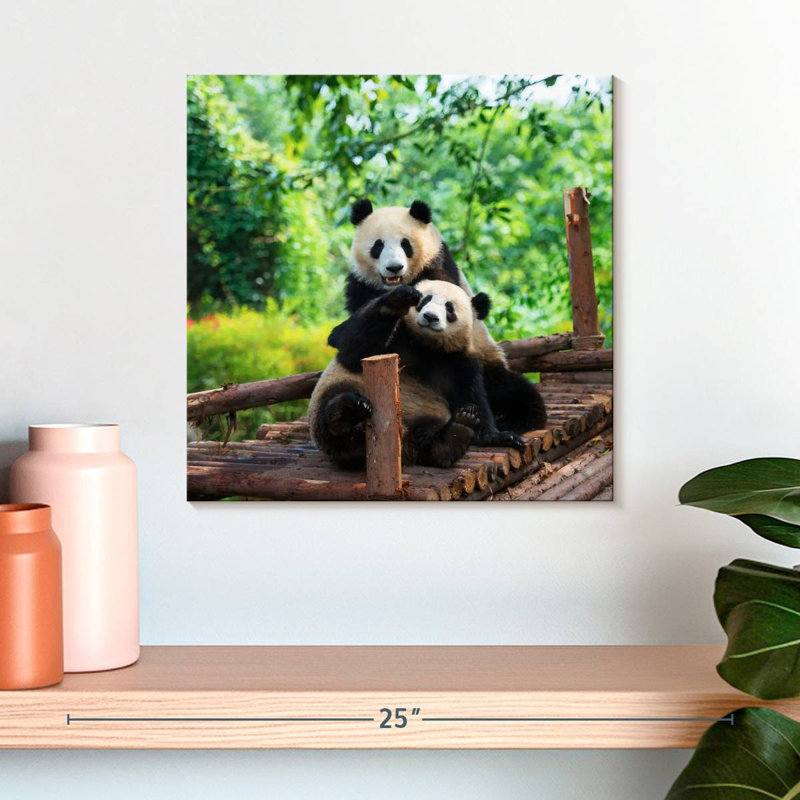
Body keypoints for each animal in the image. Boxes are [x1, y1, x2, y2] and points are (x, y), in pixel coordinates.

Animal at [309, 280, 525, 469]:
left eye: (449, 308)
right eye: (425, 300)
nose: (430, 317)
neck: (427, 346)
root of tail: (403, 446)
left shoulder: (459, 362)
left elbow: (473, 396)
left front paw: (499, 436)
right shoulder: (397, 338)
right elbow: (354, 352)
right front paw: (396, 302)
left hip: (424, 414)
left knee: (428, 434)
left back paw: (454, 435)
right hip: (340, 395)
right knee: (334, 407)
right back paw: (348, 412)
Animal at [337, 198, 546, 434]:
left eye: (406, 244)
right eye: (378, 245)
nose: (394, 267)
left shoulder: (438, 267)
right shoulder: (361, 285)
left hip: (488, 361)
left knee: (517, 392)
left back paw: (510, 418)